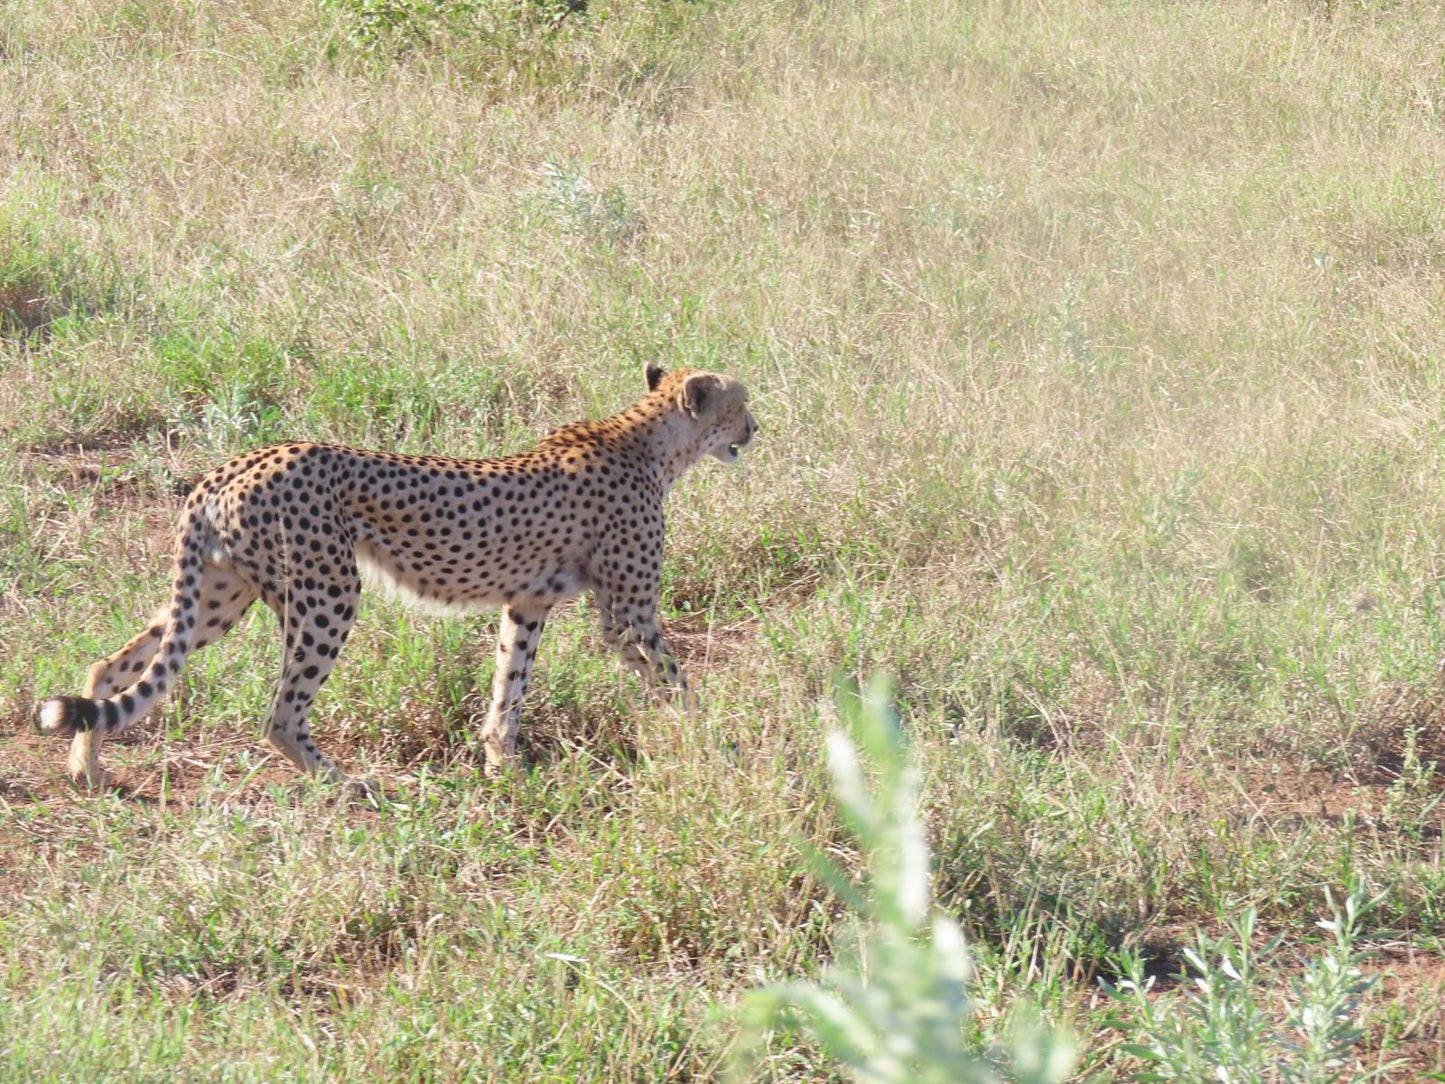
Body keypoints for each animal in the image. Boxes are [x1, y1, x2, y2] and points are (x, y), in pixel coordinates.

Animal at [33, 370, 757, 792]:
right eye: (740, 404)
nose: (755, 428)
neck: (651, 440)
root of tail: (232, 464)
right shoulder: (629, 615)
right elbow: (678, 684)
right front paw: (721, 746)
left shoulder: (525, 603)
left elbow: (509, 686)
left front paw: (501, 765)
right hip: (327, 593)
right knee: (281, 713)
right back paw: (344, 783)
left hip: (220, 595)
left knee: (115, 664)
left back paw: (85, 765)